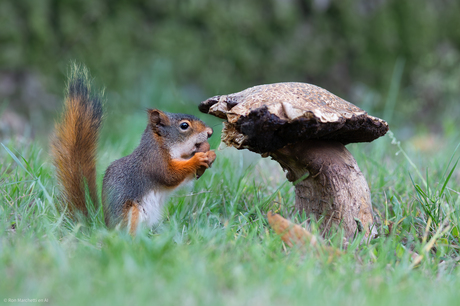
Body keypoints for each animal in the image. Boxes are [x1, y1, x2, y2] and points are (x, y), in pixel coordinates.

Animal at [51, 65, 217, 234]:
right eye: (184, 126)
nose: (210, 132)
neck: (165, 146)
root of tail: (105, 229)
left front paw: (210, 154)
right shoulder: (154, 160)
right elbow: (170, 175)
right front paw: (198, 158)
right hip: (131, 213)